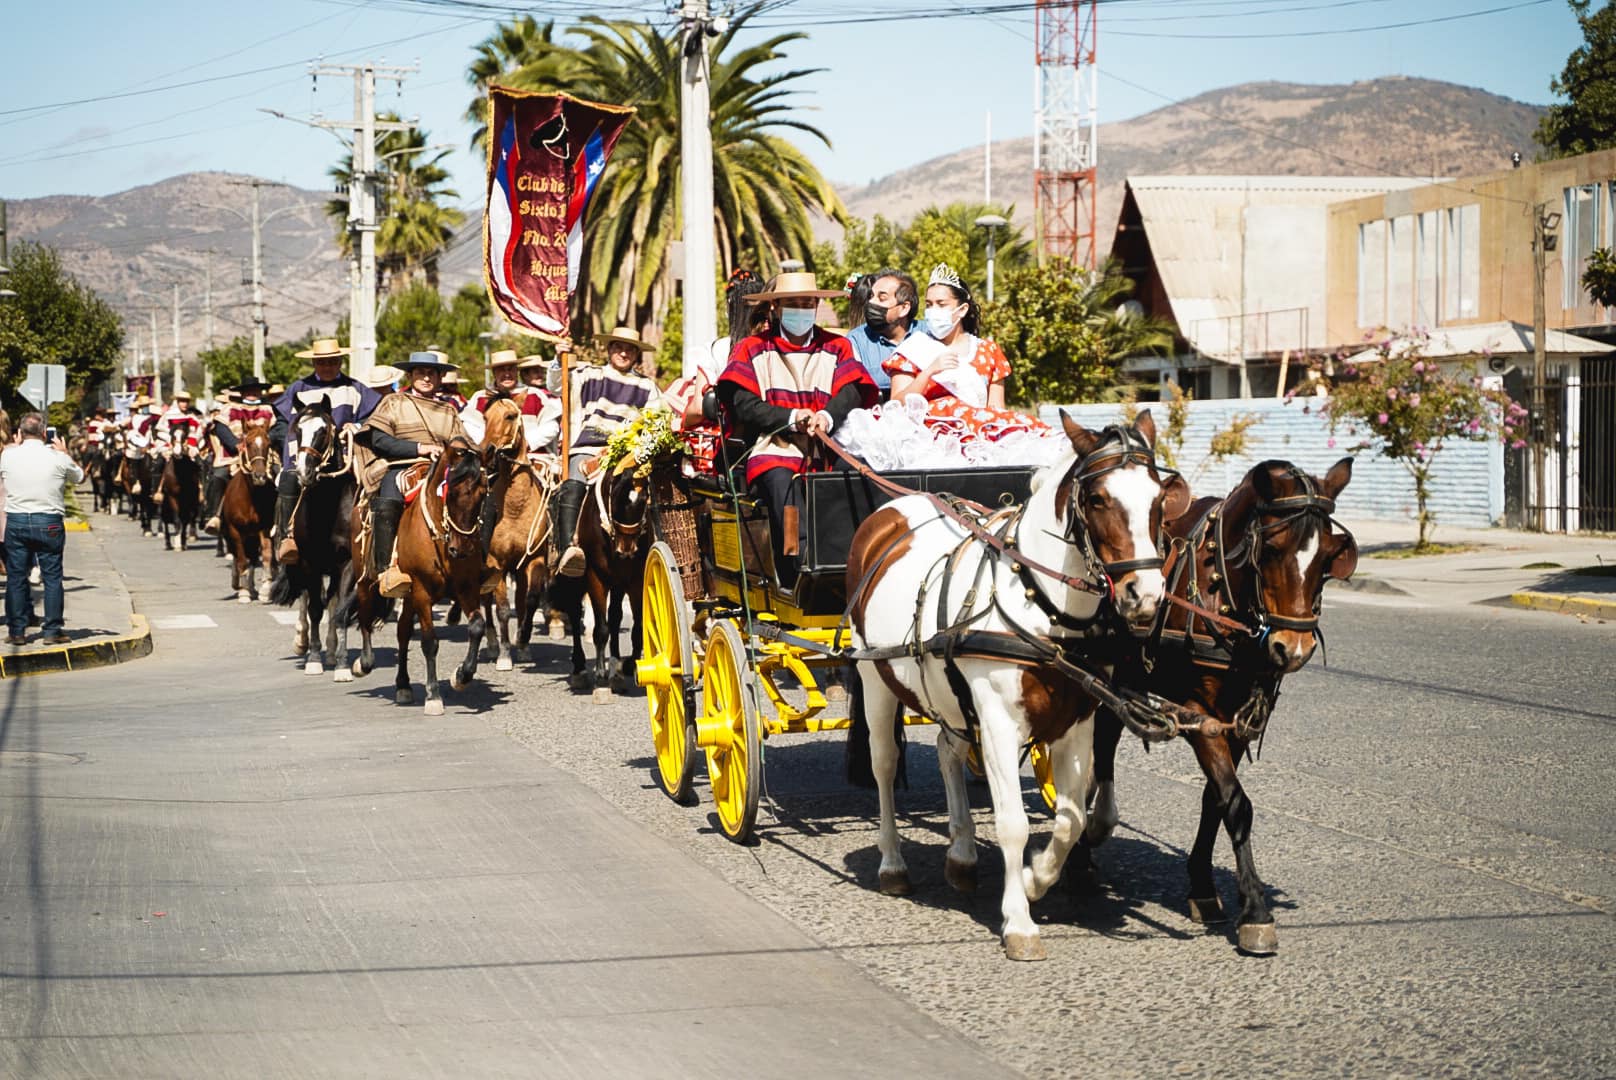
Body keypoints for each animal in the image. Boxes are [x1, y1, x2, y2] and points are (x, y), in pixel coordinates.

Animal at [218, 420, 277, 604]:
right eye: (248, 444)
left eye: (268, 444)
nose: (260, 476)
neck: (250, 499)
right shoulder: (235, 531)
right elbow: (242, 560)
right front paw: (243, 593)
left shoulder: (264, 529)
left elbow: (266, 556)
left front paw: (265, 590)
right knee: (239, 557)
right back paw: (239, 585)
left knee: (252, 558)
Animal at [268, 400, 357, 679]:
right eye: (298, 430)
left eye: (324, 431)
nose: (304, 471)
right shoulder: (309, 562)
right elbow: (314, 609)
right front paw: (314, 660)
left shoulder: (346, 563)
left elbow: (339, 611)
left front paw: (341, 665)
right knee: (308, 600)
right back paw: (302, 641)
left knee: (333, 601)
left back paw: (331, 650)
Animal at [391, 433, 491, 711]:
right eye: (452, 492)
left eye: (482, 493)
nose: (462, 548)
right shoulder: (421, 590)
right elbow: (429, 641)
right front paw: (434, 695)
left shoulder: (467, 586)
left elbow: (477, 626)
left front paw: (462, 675)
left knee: (403, 629)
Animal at [846, 413, 1189, 963]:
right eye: (1098, 500)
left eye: (1159, 499)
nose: (1146, 597)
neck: (1045, 608)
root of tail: (892, 510)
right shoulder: (999, 721)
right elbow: (1013, 822)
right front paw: (1019, 921)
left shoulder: (1077, 722)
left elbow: (1070, 819)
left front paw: (1033, 880)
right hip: (874, 675)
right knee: (883, 765)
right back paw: (893, 863)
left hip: (948, 691)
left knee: (947, 748)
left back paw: (962, 856)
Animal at [1079, 455, 1357, 950]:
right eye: (1272, 549)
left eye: (1328, 556)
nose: (1294, 649)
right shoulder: (1202, 717)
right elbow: (1237, 802)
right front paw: (1256, 910)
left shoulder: (1239, 719)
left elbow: (1216, 799)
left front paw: (1203, 887)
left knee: (1104, 743)